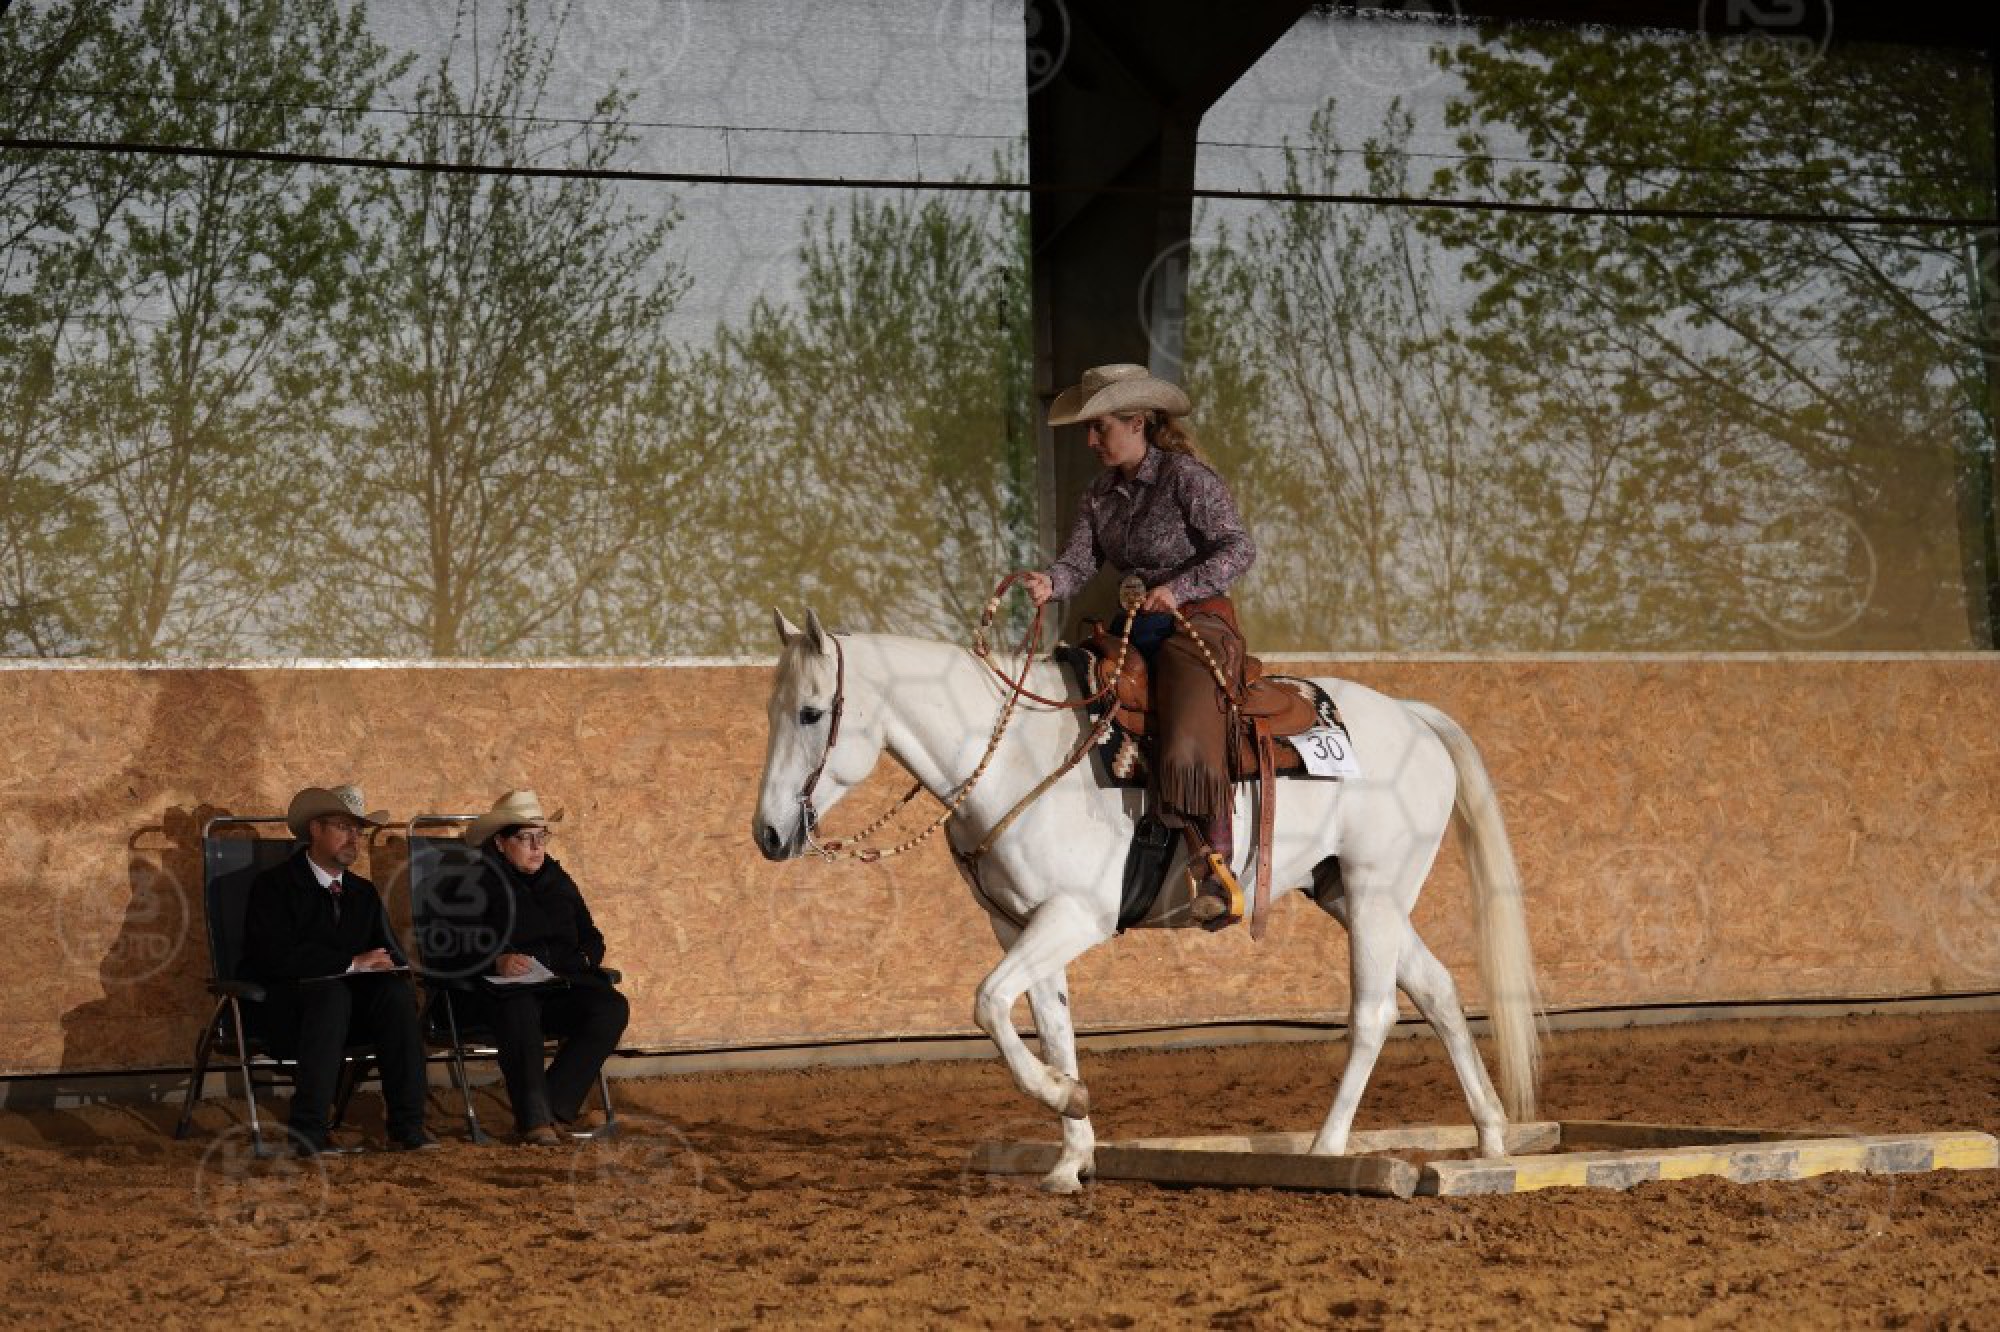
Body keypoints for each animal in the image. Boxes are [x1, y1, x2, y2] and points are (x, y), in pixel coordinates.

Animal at [752, 608, 1541, 1194]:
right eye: (773, 711)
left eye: (812, 713)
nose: (768, 833)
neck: (1015, 759)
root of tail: (1411, 715)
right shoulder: (1018, 925)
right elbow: (1051, 1025)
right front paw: (1071, 1154)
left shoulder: (1076, 916)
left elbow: (987, 1003)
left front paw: (1064, 1098)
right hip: (1348, 891)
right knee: (1437, 989)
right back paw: (1492, 1137)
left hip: (1376, 891)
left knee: (1373, 1013)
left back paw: (1326, 1149)